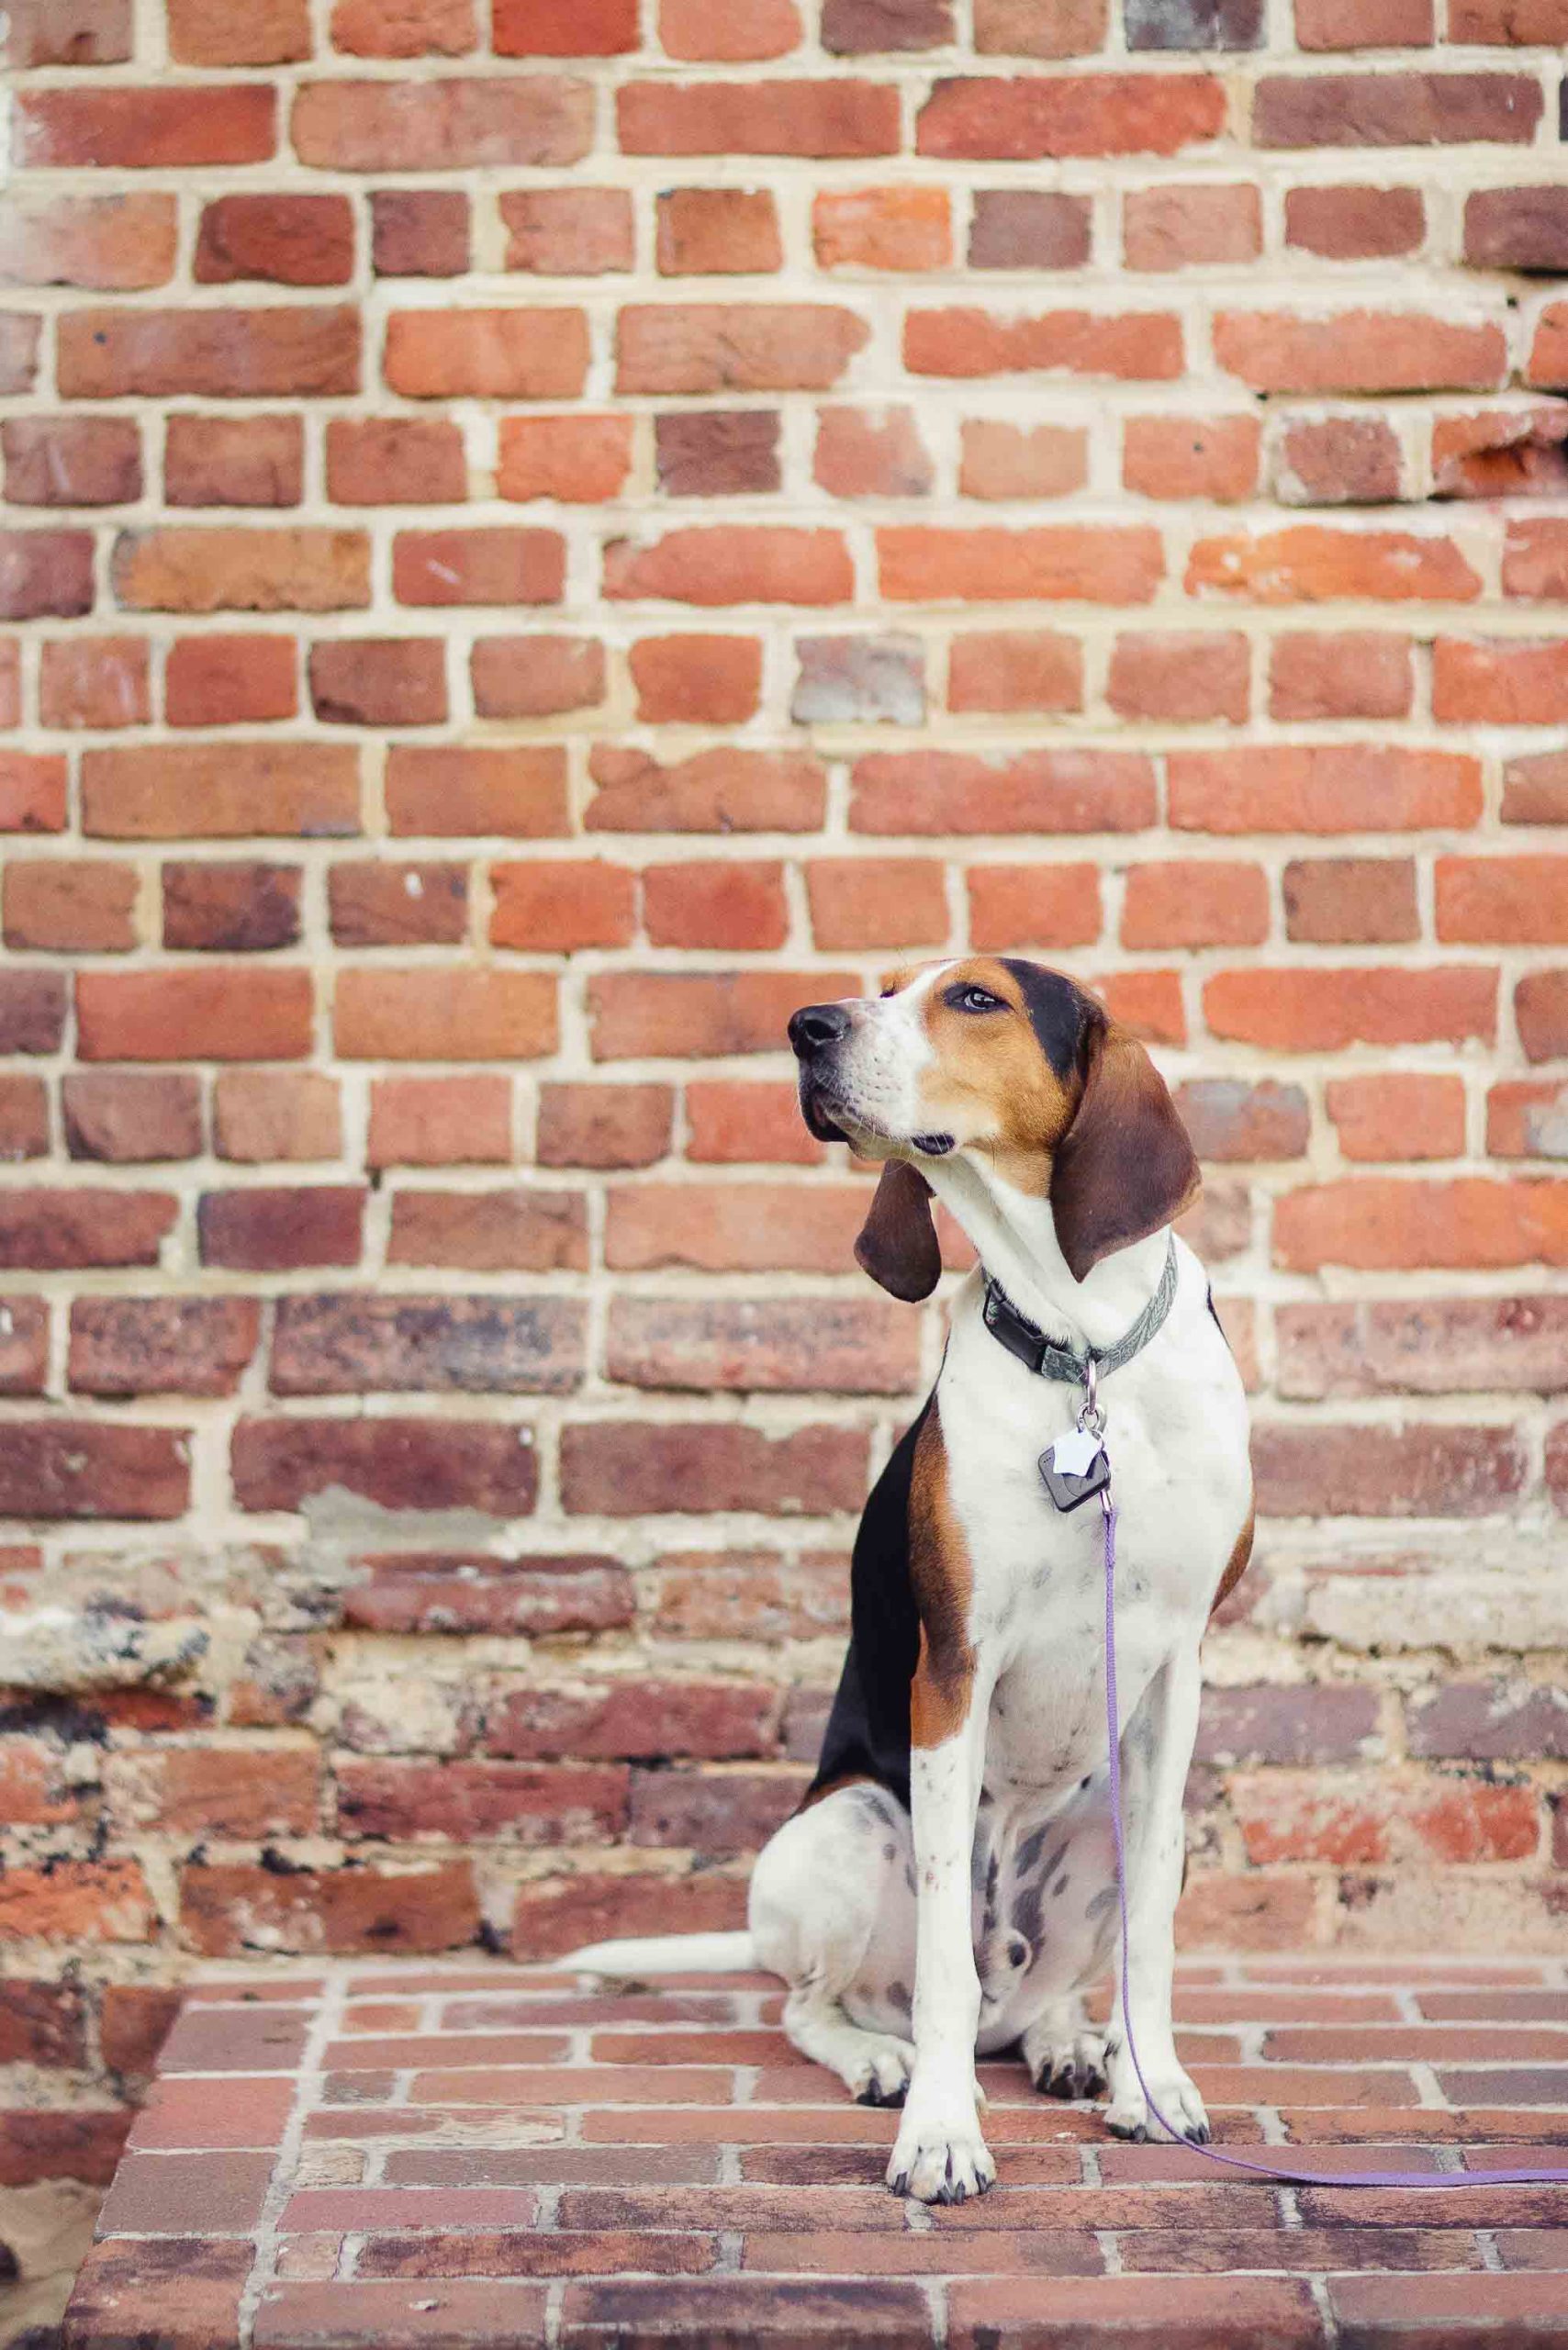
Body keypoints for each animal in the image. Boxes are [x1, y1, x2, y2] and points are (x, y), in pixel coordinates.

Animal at [571, 954, 1260, 2199]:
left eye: (976, 998)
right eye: (887, 986)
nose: (807, 1025)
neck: (1084, 1354)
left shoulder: (1179, 1670)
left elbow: (1152, 1931)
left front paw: (1150, 2086)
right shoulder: (955, 1668)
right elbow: (941, 1948)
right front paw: (940, 2130)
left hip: (1097, 1825)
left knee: (1040, 1994)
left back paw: (1069, 2044)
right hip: (842, 1832)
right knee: (821, 2005)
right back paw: (883, 2062)